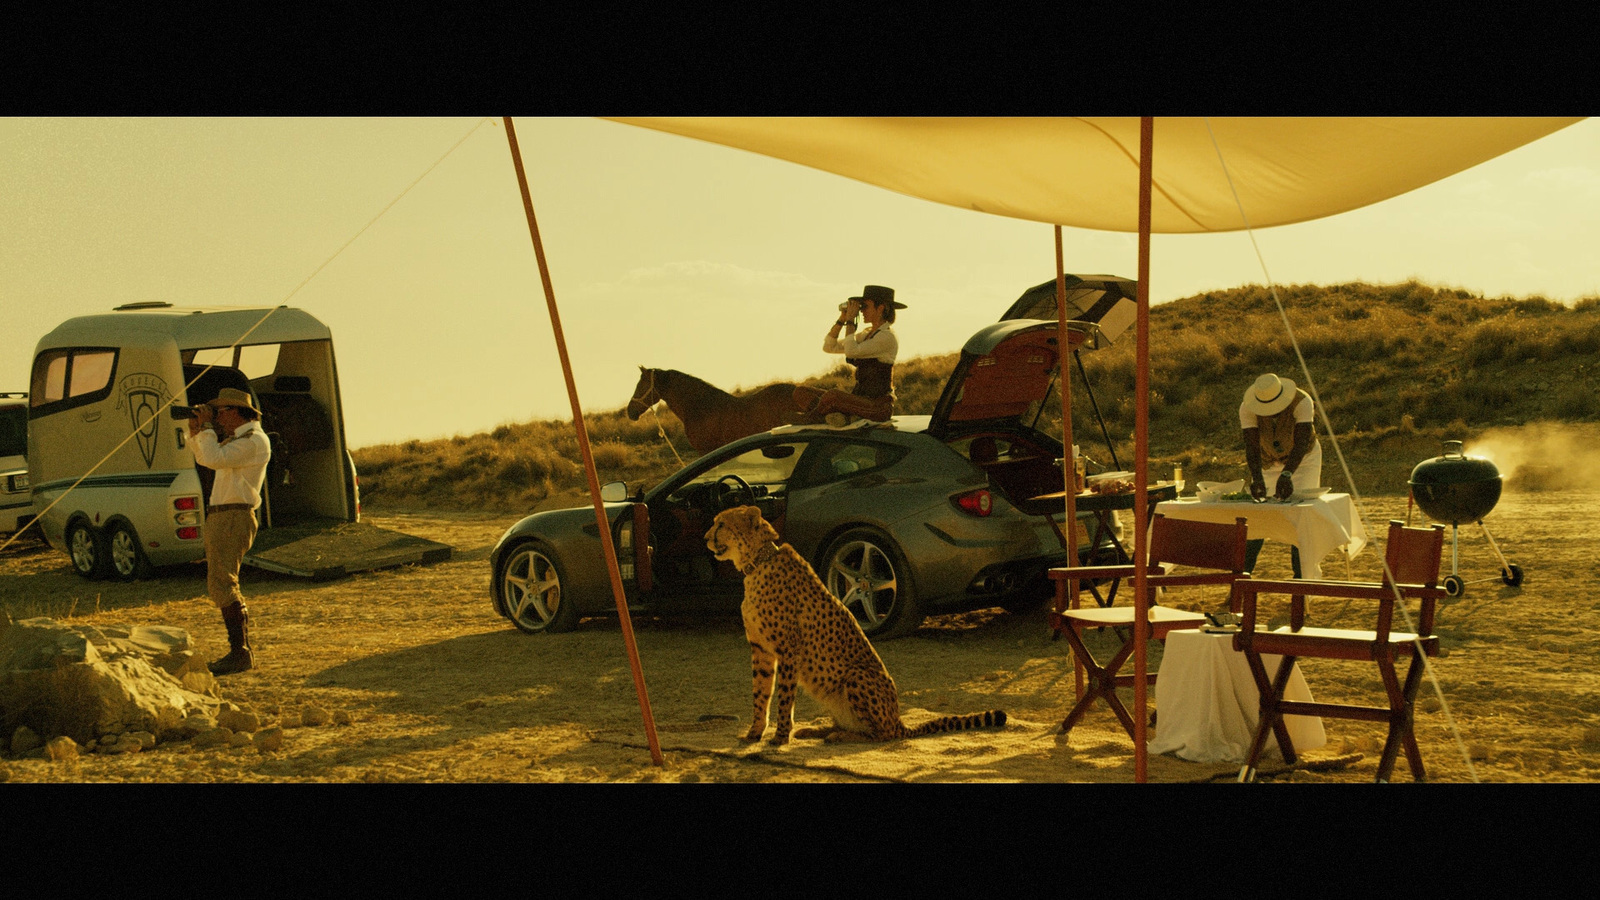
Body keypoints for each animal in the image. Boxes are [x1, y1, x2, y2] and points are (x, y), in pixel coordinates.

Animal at [707, 506, 1004, 743]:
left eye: (721, 524)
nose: (706, 538)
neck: (757, 562)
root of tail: (899, 720)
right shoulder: (761, 650)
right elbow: (760, 694)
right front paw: (755, 733)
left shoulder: (789, 649)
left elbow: (783, 697)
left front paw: (780, 737)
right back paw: (818, 731)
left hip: (856, 675)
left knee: (881, 735)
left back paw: (839, 736)